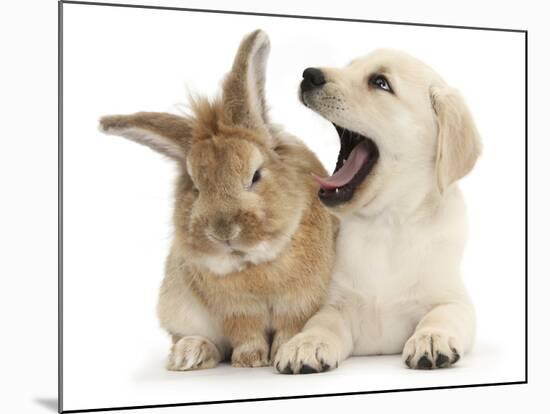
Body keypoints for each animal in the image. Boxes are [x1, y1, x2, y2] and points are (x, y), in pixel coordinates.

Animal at [101, 30, 338, 370]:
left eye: (255, 175)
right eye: (196, 188)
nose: (224, 232)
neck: (255, 263)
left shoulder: (298, 303)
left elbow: (289, 328)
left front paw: (279, 352)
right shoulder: (236, 310)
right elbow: (245, 333)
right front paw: (250, 360)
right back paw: (189, 354)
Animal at [276, 48, 484, 372]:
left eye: (380, 82)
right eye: (350, 67)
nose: (309, 75)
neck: (386, 222)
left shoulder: (453, 298)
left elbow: (443, 314)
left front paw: (431, 338)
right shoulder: (336, 303)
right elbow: (321, 322)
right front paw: (306, 343)